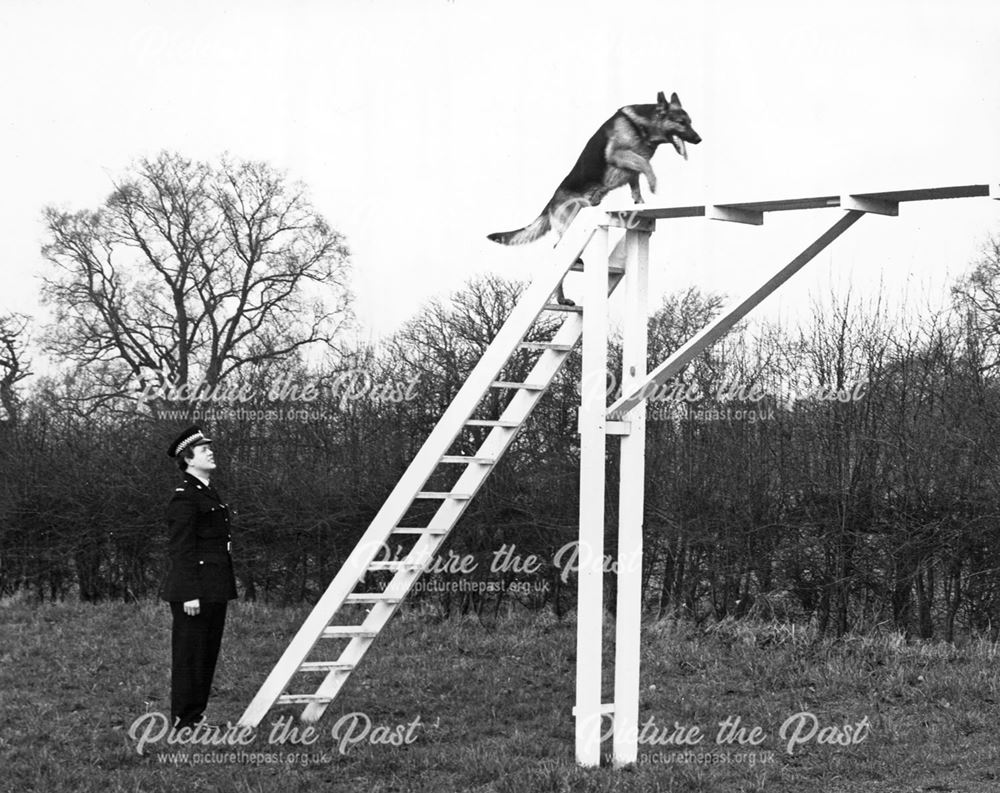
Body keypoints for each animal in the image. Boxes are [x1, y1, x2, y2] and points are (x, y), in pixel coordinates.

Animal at [488, 90, 700, 304]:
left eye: (690, 122)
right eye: (681, 122)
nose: (699, 139)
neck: (641, 125)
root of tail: (550, 203)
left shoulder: (631, 169)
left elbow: (637, 181)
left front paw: (640, 201)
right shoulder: (619, 154)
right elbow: (645, 165)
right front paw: (653, 184)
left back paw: (562, 298)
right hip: (572, 222)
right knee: (558, 250)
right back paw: (562, 294)